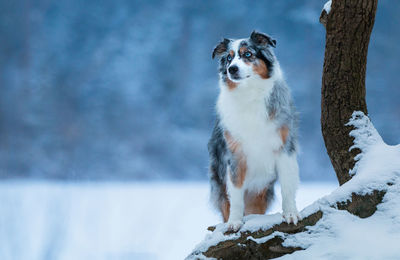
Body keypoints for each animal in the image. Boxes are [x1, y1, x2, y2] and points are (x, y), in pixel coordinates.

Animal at [209, 31, 300, 232]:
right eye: (229, 58)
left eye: (248, 54)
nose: (232, 69)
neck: (249, 94)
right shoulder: (235, 155)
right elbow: (236, 194)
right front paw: (234, 222)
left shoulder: (284, 148)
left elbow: (288, 186)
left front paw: (291, 214)